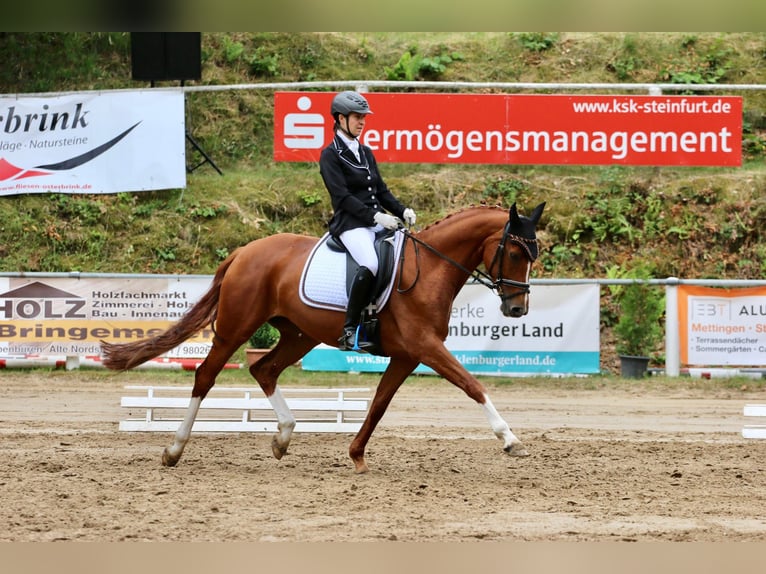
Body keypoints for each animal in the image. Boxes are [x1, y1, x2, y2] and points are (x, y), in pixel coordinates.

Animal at [102, 202, 544, 472]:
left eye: (533, 256)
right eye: (515, 253)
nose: (517, 310)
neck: (430, 269)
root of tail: (245, 250)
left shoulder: (408, 355)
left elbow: (378, 405)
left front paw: (356, 456)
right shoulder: (426, 347)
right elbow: (472, 385)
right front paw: (510, 439)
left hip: (300, 334)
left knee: (264, 369)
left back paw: (283, 437)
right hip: (236, 328)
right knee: (206, 376)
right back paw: (174, 450)